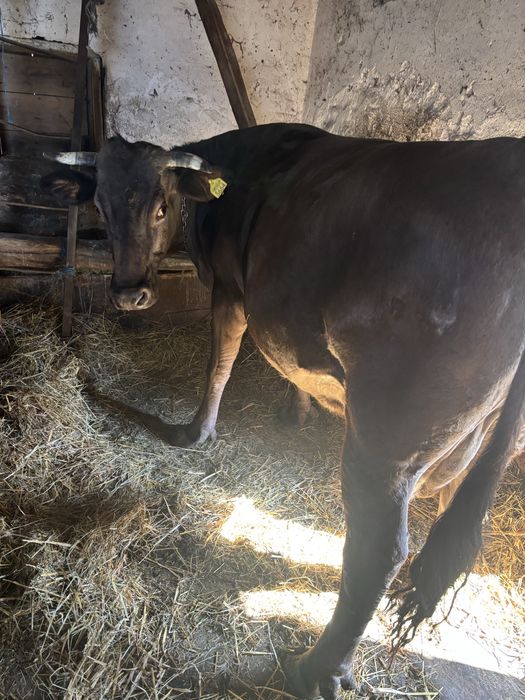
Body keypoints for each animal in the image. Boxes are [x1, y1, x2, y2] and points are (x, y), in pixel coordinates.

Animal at [42, 124, 525, 699]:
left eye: (161, 206)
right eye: (101, 204)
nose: (128, 293)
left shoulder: (230, 288)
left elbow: (221, 360)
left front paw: (195, 431)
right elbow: (287, 364)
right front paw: (297, 410)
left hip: (389, 442)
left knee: (378, 551)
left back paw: (316, 670)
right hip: (479, 440)